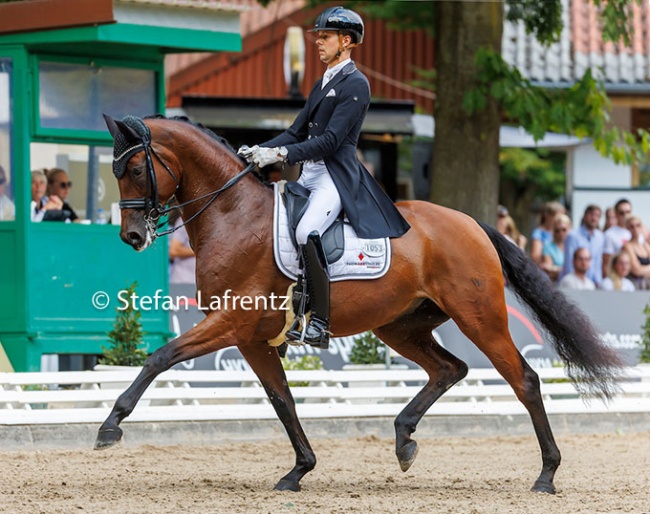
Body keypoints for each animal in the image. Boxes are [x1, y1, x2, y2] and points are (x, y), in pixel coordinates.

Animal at [96, 115, 616, 492]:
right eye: (116, 172)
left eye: (136, 170)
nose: (132, 237)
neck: (233, 215)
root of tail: (472, 223)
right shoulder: (252, 339)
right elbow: (282, 400)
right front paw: (299, 470)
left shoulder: (231, 322)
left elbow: (160, 357)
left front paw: (110, 426)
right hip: (400, 326)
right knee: (450, 369)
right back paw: (404, 439)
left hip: (479, 318)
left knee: (523, 380)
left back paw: (546, 475)